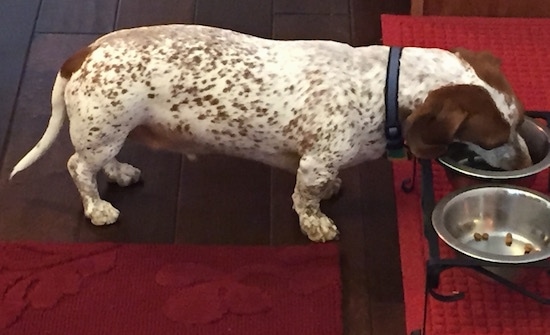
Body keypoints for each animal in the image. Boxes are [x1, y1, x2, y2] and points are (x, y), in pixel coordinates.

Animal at [9, 25, 536, 243]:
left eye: (519, 122)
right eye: (495, 139)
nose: (524, 166)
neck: (383, 87)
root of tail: (83, 52)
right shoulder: (315, 161)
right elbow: (306, 198)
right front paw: (316, 224)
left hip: (113, 131)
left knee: (102, 162)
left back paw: (119, 174)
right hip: (104, 130)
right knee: (78, 168)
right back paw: (98, 208)